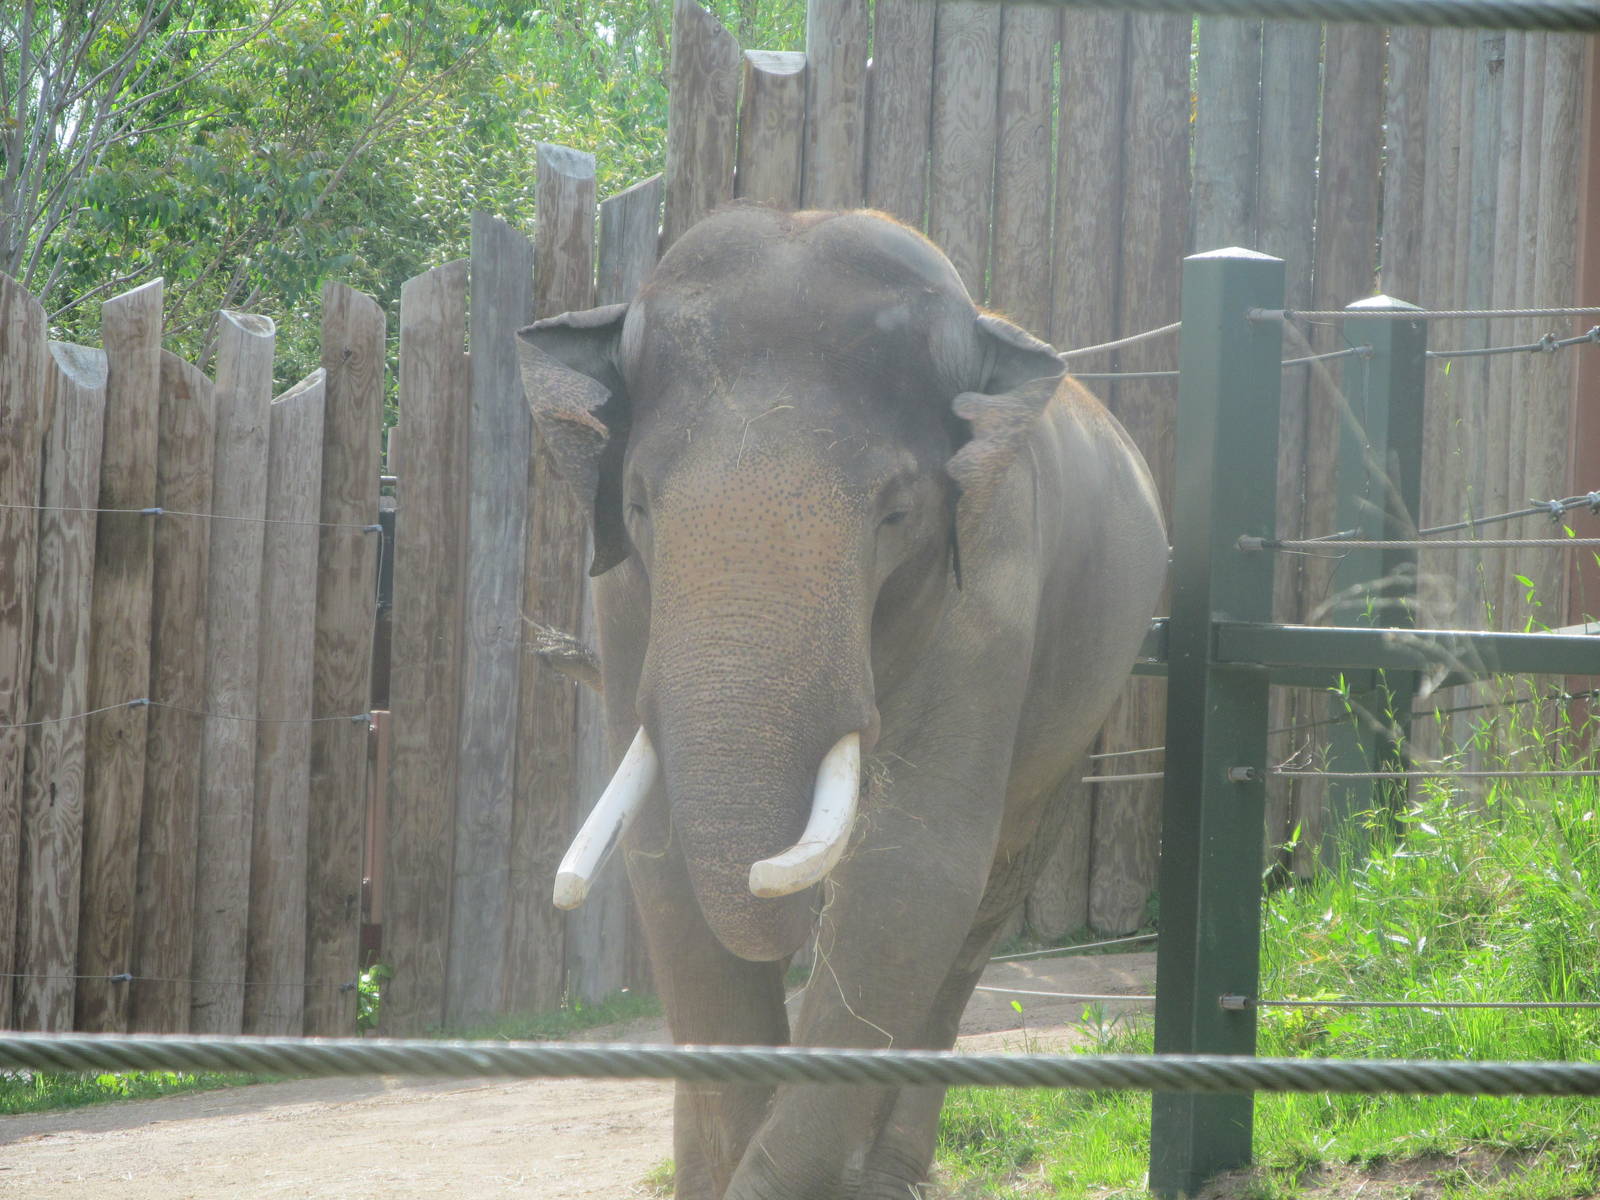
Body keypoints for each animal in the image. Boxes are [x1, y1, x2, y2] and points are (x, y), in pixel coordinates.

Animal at [517, 206, 1167, 1200]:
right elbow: (662, 861)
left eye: (896, 515)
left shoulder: (993, 574)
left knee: (980, 905)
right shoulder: (627, 603)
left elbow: (909, 871)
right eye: (637, 507)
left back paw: (888, 1175)